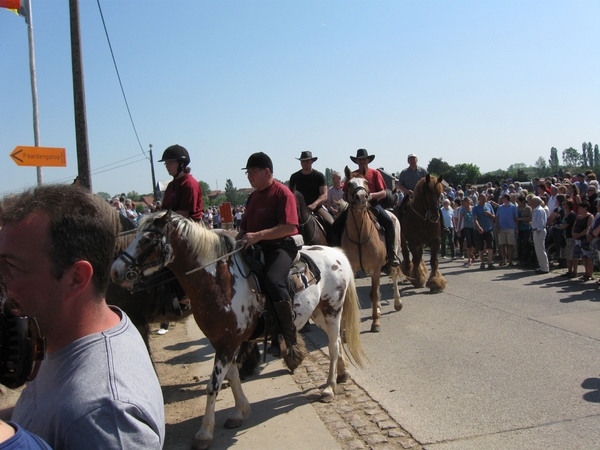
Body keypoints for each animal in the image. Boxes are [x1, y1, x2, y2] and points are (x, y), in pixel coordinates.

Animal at [111, 211, 366, 450]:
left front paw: (204, 432)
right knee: (336, 342)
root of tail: (335, 252)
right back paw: (341, 374)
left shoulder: (227, 343)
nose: (115, 271)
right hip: (318, 313)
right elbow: (232, 376)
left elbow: (213, 385)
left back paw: (329, 388)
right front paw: (239, 411)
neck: (219, 281)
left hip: (332, 310)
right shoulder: (223, 341)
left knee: (333, 347)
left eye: (147, 239)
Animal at [340, 165, 400, 330]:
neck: (360, 235)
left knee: (393, 276)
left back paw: (397, 303)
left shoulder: (376, 267)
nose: (361, 197)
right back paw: (378, 308)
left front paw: (375, 323)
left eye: (366, 182)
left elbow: (373, 294)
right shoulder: (354, 269)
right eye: (349, 184)